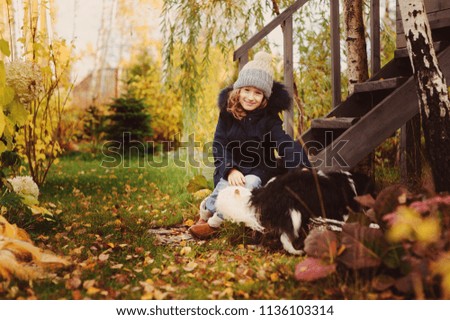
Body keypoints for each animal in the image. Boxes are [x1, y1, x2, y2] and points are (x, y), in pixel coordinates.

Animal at [216, 168, 370, 255]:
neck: (350, 183)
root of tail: (266, 191)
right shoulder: (338, 211)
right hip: (293, 214)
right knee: (285, 237)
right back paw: (296, 251)